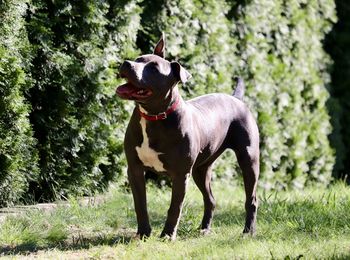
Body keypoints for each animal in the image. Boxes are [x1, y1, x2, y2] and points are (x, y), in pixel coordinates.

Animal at [116, 34, 258, 240]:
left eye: (154, 68)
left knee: (251, 199)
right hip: (201, 169)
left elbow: (175, 207)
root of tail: (236, 98)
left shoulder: (180, 175)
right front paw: (143, 233)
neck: (153, 116)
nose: (126, 63)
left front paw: (168, 235)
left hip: (249, 160)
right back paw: (205, 228)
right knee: (210, 199)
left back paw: (248, 231)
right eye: (138, 59)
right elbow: (140, 204)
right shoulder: (134, 169)